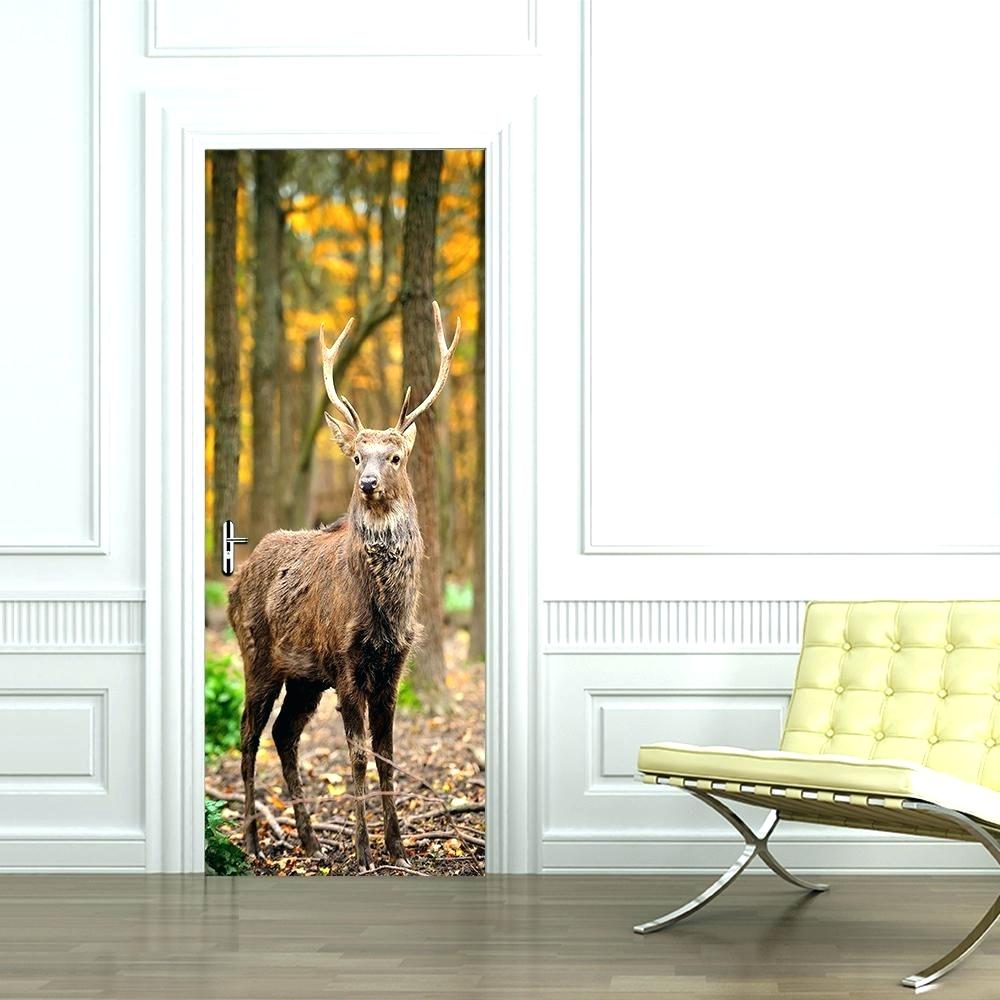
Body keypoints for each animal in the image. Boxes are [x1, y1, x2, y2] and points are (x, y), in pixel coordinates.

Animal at [227, 300, 460, 872]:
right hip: (257, 656)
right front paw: (362, 851)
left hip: (305, 677)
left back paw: (311, 842)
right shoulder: (346, 664)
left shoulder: (393, 666)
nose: (368, 483)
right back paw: (252, 842)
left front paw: (397, 847)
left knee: (284, 734)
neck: (383, 611)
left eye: (394, 457)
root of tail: (234, 584)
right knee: (247, 737)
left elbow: (388, 758)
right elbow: (356, 758)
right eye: (357, 456)